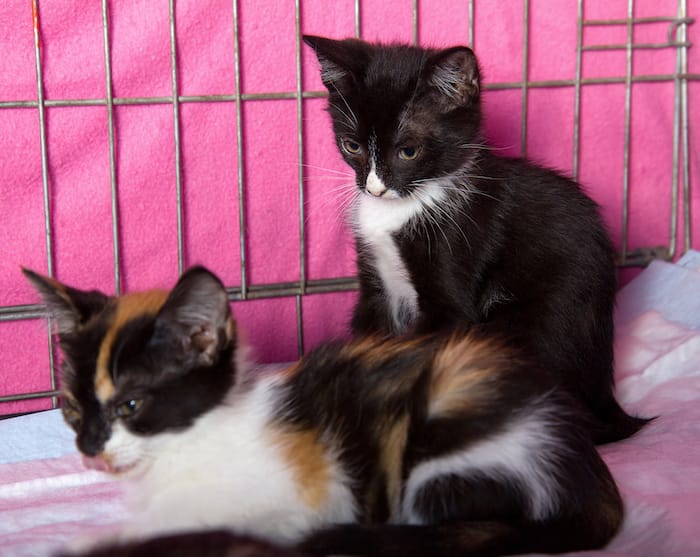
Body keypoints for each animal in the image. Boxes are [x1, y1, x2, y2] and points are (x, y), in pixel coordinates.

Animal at [26, 264, 624, 556]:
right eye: (73, 407)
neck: (190, 442)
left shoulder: (296, 500)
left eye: (130, 404)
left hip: (451, 440)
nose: (89, 449)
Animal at [304, 33, 648, 444]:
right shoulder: (376, 284)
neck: (406, 206)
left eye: (408, 151)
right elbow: (369, 331)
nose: (374, 188)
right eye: (352, 146)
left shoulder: (455, 263)